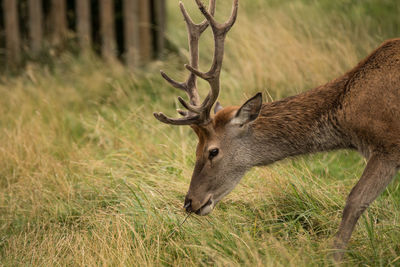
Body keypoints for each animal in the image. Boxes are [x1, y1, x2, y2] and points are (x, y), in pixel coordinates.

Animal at [153, 0, 400, 262]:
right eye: (196, 149)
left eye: (213, 151)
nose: (190, 202)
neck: (350, 115)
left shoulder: (388, 145)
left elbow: (354, 200)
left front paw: (333, 259)